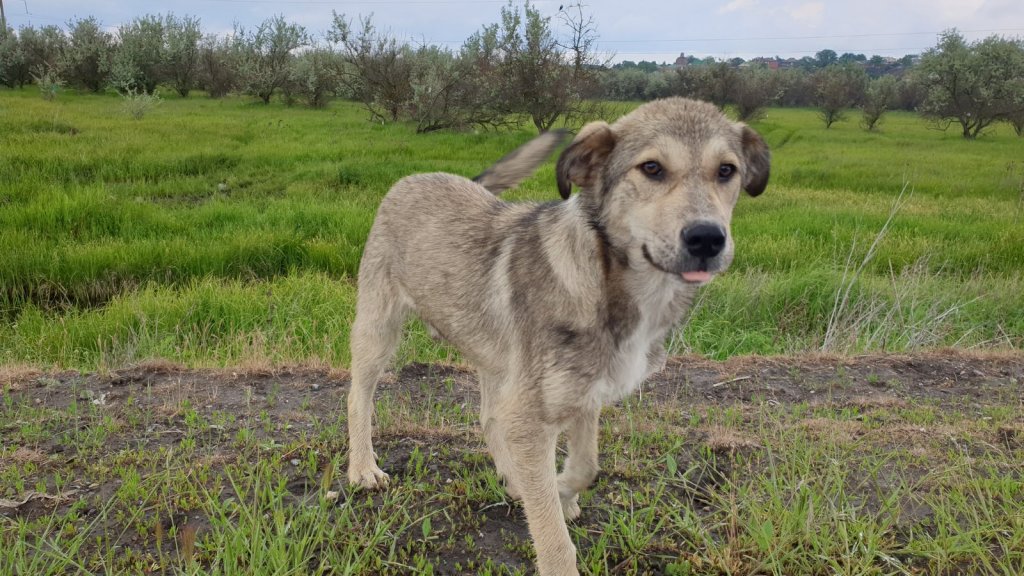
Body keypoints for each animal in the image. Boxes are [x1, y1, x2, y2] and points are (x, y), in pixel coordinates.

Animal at [346, 96, 770, 569]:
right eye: (652, 168)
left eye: (727, 170)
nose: (707, 239)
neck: (608, 283)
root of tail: (415, 178)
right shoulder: (535, 413)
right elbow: (552, 532)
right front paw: (549, 509)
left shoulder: (582, 393)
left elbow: (585, 466)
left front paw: (559, 489)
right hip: (378, 329)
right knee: (358, 397)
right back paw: (363, 468)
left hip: (497, 358)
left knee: (489, 416)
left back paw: (512, 475)